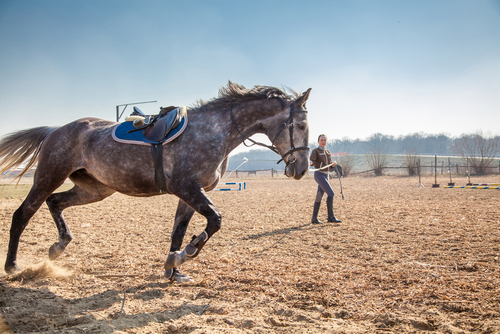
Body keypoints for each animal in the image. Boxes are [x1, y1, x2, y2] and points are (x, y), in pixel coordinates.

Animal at [0, 81, 310, 282]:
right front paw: (185, 254)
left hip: (95, 189)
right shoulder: (186, 188)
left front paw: (174, 268)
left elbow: (179, 231)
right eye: (302, 125)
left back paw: (58, 246)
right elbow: (215, 220)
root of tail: (56, 130)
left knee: (55, 203)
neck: (215, 131)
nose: (302, 169)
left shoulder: (189, 193)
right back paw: (13, 266)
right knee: (23, 214)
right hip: (49, 176)